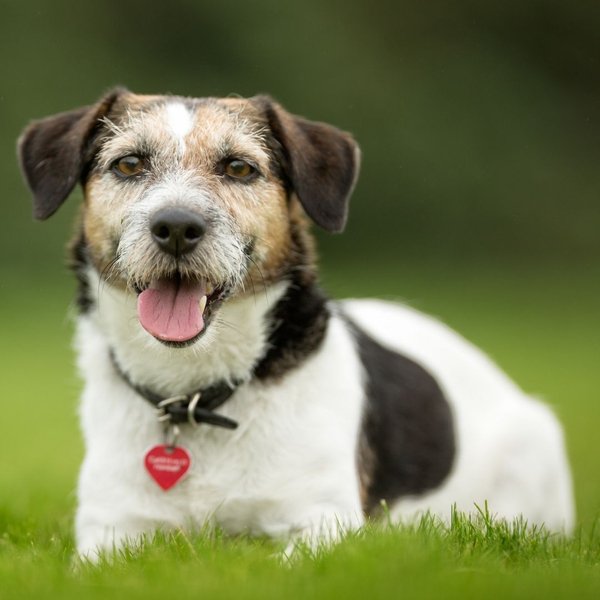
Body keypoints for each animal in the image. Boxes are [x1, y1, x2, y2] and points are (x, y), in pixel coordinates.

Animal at [16, 90, 576, 556]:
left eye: (239, 168)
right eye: (129, 163)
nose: (175, 226)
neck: (196, 396)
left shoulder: (324, 523)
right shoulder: (110, 531)